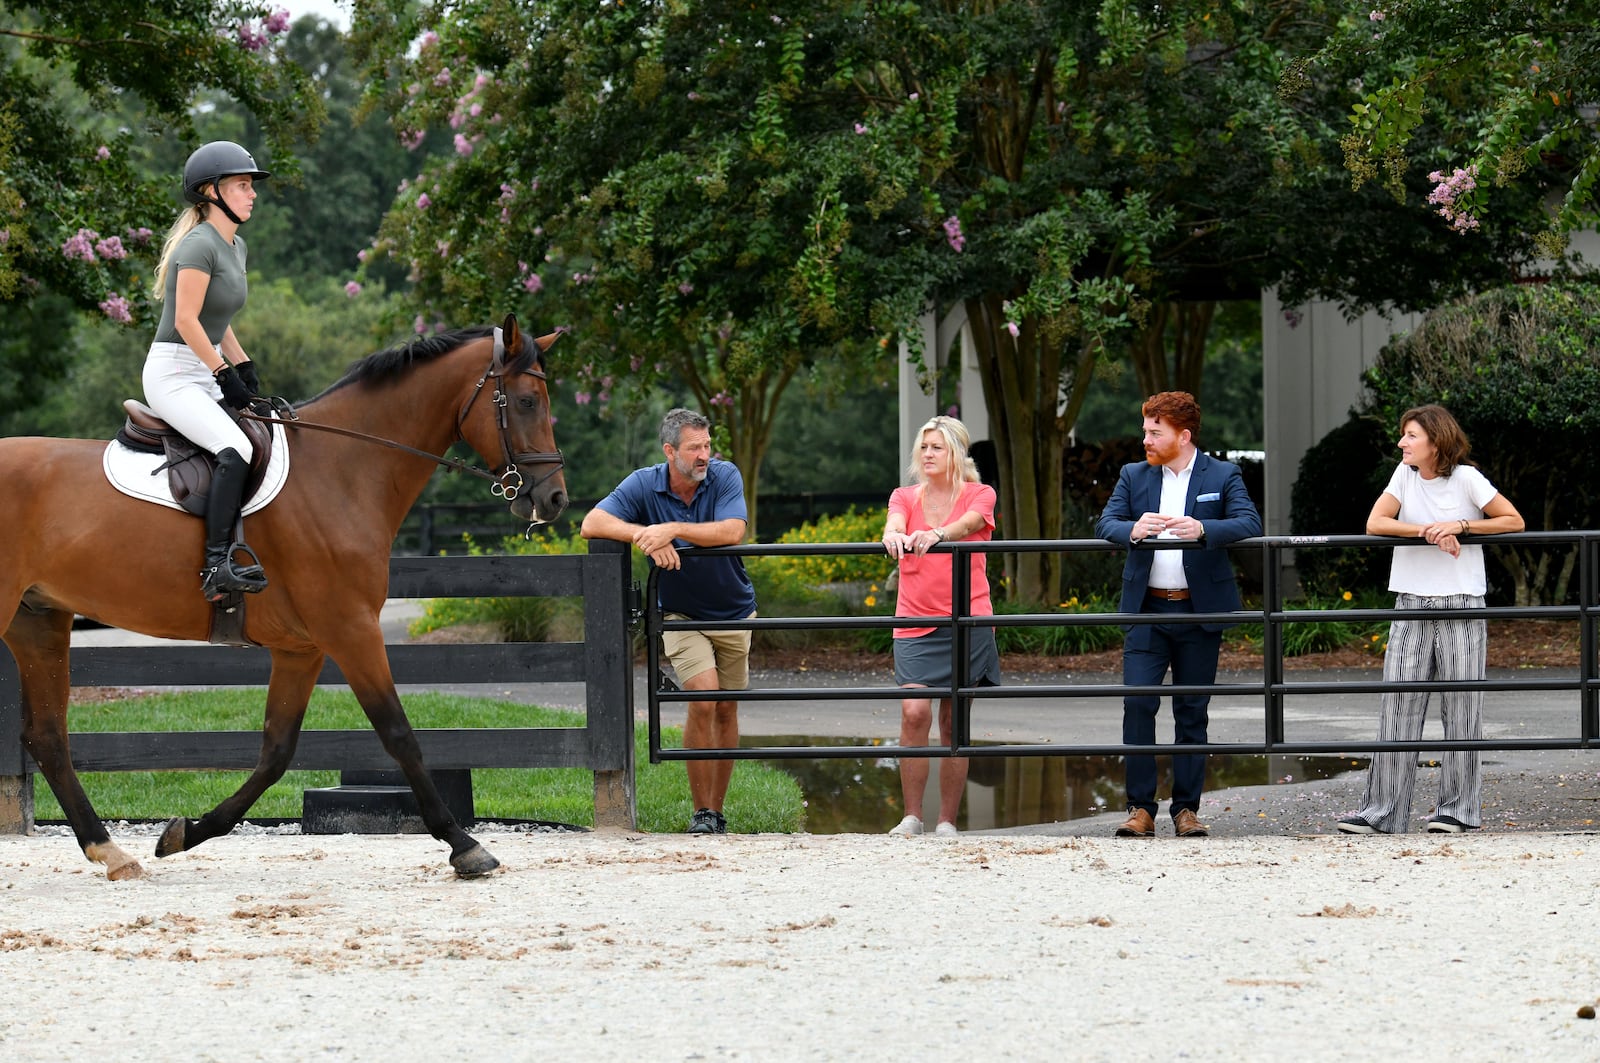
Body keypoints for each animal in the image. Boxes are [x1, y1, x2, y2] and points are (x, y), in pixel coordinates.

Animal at [0, 313, 569, 877]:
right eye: (526, 402)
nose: (554, 499)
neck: (343, 468)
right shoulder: (351, 629)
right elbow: (398, 733)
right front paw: (463, 844)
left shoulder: (302, 648)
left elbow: (276, 751)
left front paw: (186, 833)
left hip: (39, 621)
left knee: (47, 736)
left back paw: (110, 851)